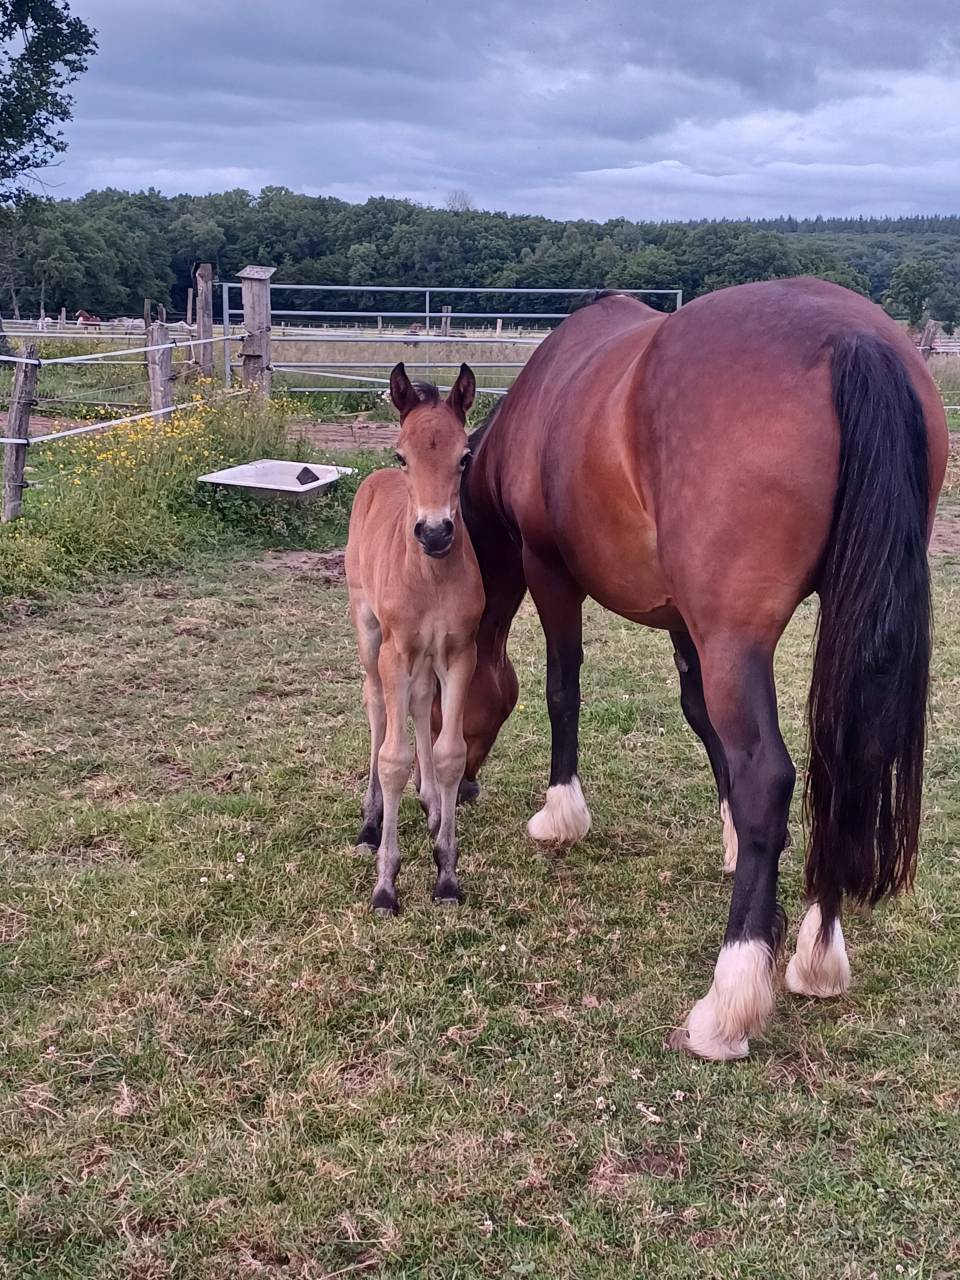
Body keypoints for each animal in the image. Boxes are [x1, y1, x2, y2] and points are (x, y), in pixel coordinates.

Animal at [457, 277, 948, 1060]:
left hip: (736, 634)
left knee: (771, 777)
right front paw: (734, 845)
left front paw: (561, 813)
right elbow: (700, 720)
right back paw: (817, 956)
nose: (460, 786)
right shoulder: (684, 621)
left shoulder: (550, 571)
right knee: (839, 763)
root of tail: (853, 337)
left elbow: (563, 689)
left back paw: (731, 1000)